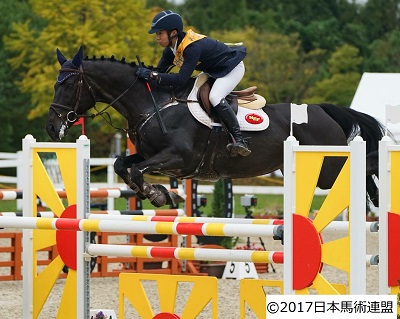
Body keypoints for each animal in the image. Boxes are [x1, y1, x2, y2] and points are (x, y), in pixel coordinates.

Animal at [46, 46, 384, 209]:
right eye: (55, 83)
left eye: (68, 84)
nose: (52, 127)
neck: (156, 102)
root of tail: (323, 111)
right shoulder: (147, 154)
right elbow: (122, 165)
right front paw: (160, 195)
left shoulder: (180, 158)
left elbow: (139, 171)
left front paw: (158, 195)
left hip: (327, 167)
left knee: (364, 165)